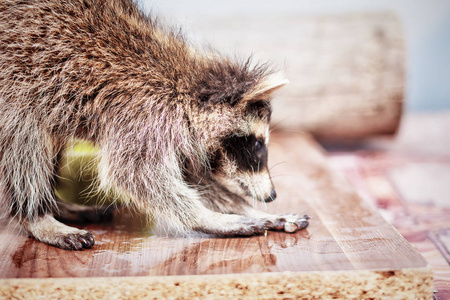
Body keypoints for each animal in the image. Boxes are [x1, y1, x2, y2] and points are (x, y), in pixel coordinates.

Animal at [0, 0, 306, 250]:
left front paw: (248, 210)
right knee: (24, 140)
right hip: (17, 88)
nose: (272, 195)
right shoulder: (141, 114)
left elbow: (198, 181)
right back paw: (36, 214)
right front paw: (208, 218)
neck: (184, 88)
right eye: (256, 145)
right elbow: (136, 174)